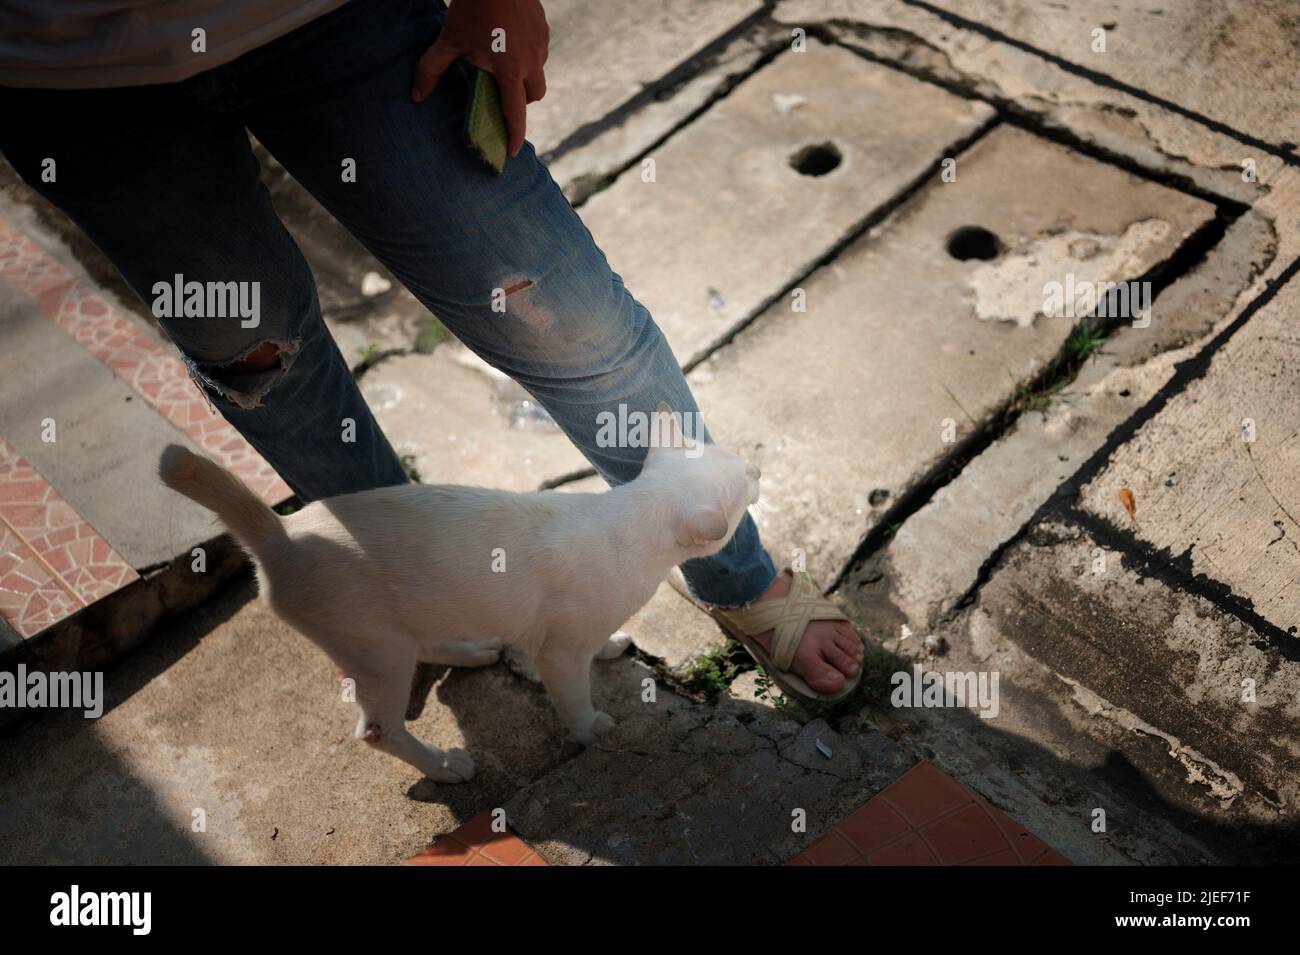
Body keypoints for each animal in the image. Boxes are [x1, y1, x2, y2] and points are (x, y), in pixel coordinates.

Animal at [156, 402, 759, 784]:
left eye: (740, 462)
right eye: (744, 481)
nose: (757, 469)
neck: (630, 517)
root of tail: (281, 533)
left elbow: (590, 646)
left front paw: (610, 646)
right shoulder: (560, 653)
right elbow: (572, 696)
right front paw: (592, 730)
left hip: (406, 626)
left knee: (427, 644)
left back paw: (472, 653)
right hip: (377, 650)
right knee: (377, 731)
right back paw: (445, 767)